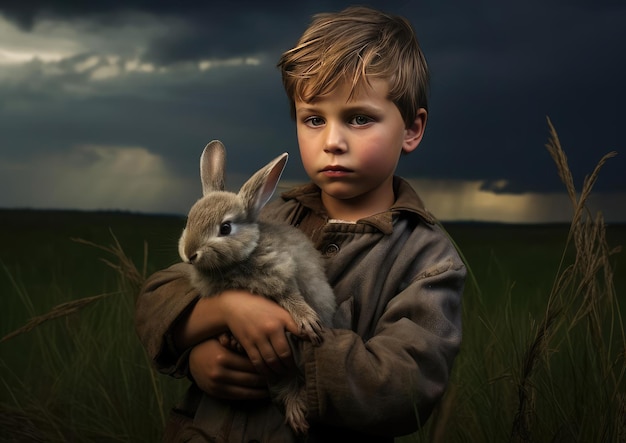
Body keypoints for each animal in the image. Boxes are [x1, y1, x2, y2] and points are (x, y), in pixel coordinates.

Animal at [178, 140, 334, 436]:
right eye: (189, 220)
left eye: (225, 228)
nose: (190, 254)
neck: (243, 256)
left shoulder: (282, 274)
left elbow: (291, 296)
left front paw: (309, 322)